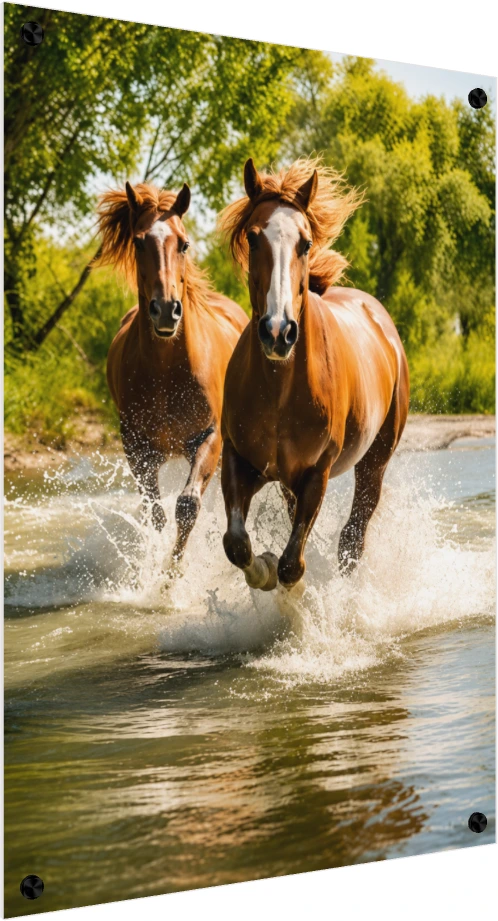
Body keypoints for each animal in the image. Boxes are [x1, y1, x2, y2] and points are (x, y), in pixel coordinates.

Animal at [96, 181, 248, 562]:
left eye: (184, 243)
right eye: (138, 241)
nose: (166, 310)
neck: (167, 371)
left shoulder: (209, 437)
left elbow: (188, 506)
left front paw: (174, 569)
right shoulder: (138, 449)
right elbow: (157, 513)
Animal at [217, 157, 409, 591]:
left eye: (304, 243)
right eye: (253, 237)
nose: (278, 331)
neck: (279, 389)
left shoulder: (315, 474)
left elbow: (293, 564)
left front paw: (293, 589)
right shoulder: (239, 459)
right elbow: (236, 544)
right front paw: (263, 569)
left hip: (375, 462)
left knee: (353, 538)